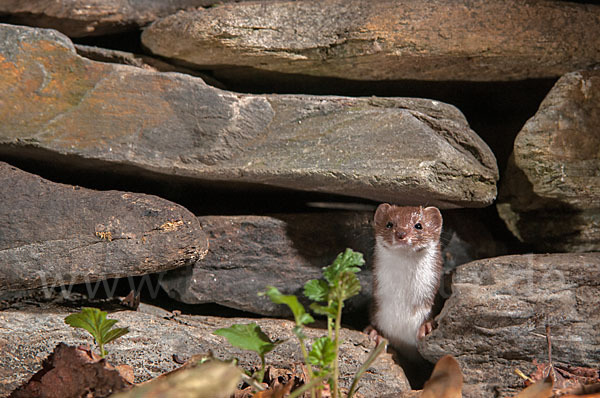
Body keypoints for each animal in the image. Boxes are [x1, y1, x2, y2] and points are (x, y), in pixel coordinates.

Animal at [370, 204, 440, 360]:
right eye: (389, 224)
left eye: (419, 225)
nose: (401, 233)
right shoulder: (377, 311)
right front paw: (375, 334)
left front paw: (426, 326)